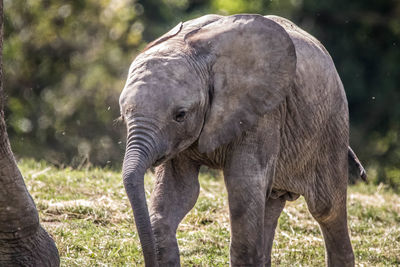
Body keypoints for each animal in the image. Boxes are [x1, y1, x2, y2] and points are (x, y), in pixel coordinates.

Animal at [119, 14, 366, 267]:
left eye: (180, 115)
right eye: (123, 116)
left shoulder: (263, 113)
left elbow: (242, 186)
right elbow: (178, 191)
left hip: (331, 126)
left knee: (327, 209)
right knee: (271, 204)